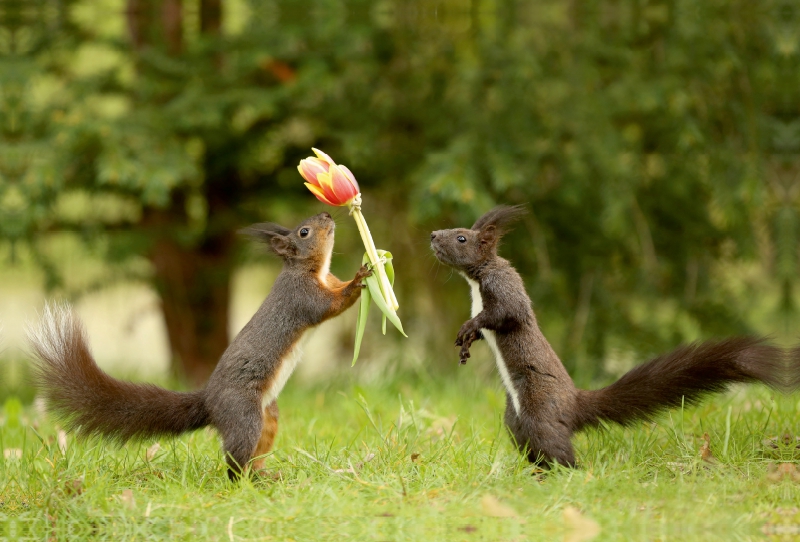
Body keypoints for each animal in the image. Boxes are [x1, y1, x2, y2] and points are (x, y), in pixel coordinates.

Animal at [28, 212, 372, 480]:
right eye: (304, 231)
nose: (327, 215)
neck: (313, 270)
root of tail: (209, 402)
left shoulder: (326, 282)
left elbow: (337, 291)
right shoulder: (301, 297)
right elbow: (329, 306)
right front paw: (361, 278)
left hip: (268, 418)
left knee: (254, 454)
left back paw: (265, 475)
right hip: (245, 415)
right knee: (235, 460)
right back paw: (246, 481)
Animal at [432, 206, 788, 470]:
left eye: (461, 238)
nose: (433, 235)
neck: (475, 282)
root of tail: (574, 404)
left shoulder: (505, 287)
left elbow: (506, 313)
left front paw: (468, 327)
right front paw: (467, 341)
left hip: (540, 413)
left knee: (558, 451)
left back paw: (563, 475)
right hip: (514, 421)